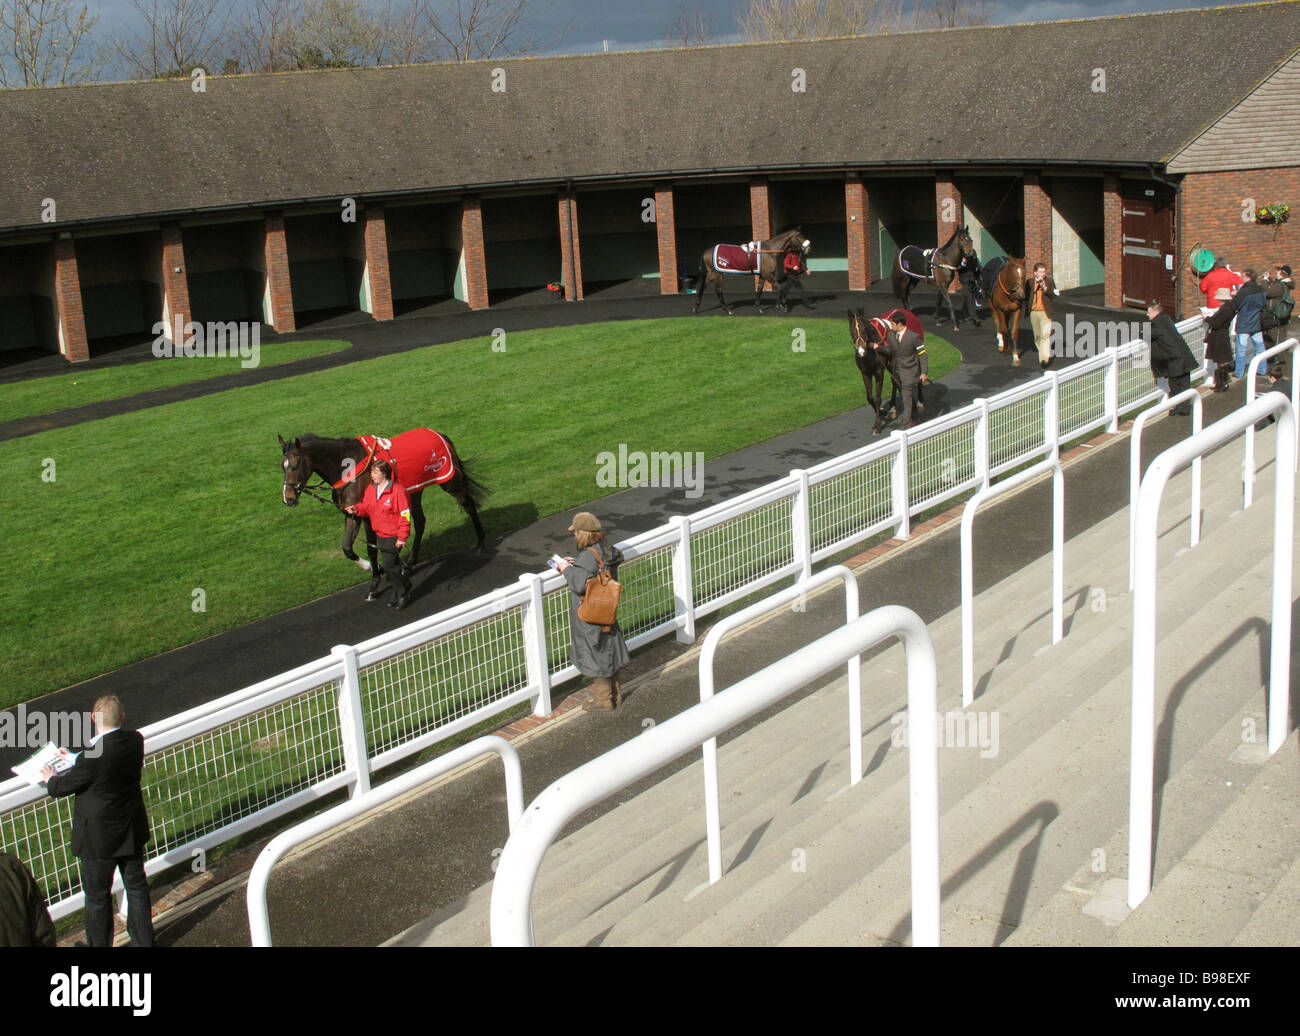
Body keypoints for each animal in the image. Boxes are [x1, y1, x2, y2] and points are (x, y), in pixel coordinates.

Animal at [279, 423, 488, 595]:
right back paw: (409, 563)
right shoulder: (352, 514)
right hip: (415, 490)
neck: (349, 468)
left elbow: (371, 548)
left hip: (449, 481)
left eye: (295, 465)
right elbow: (347, 548)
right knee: (420, 521)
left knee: (469, 505)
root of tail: (440, 434)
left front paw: (374, 582)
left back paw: (480, 543)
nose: (288, 498)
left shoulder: (367, 515)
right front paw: (373, 567)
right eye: (283, 466)